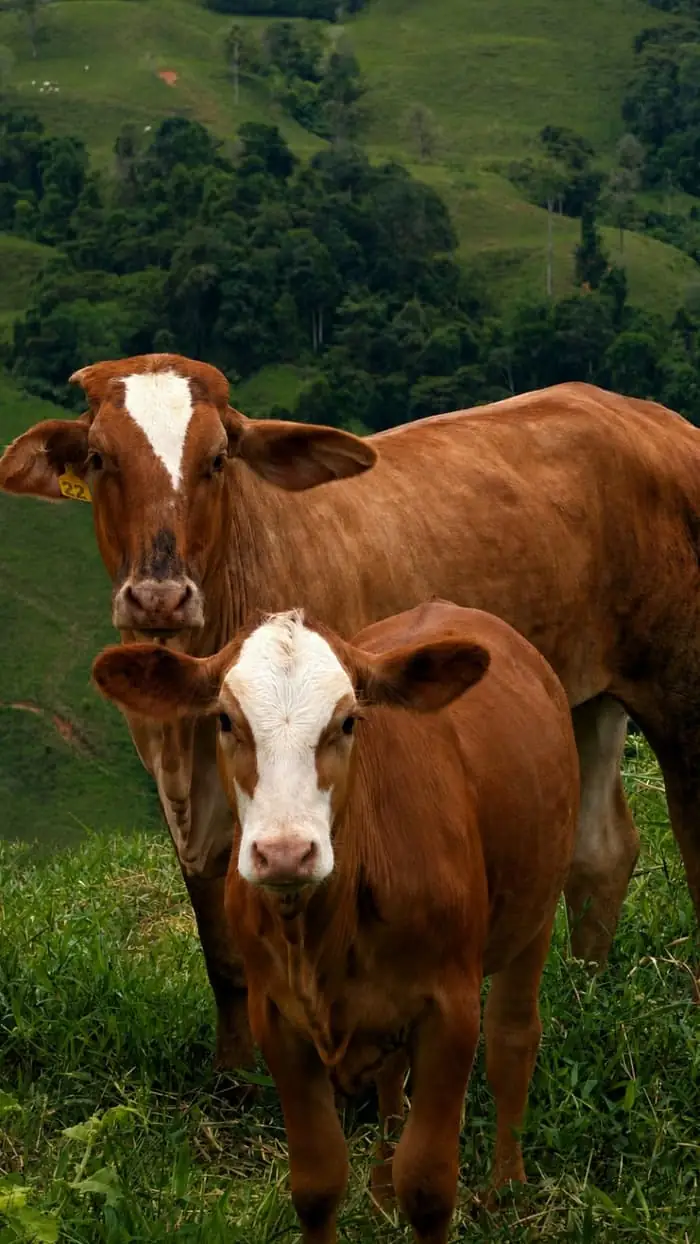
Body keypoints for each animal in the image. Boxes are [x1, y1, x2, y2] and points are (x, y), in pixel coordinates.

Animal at [2, 352, 699, 1074]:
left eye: (218, 459)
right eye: (99, 458)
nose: (159, 597)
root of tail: (651, 417)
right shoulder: (189, 804)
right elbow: (222, 953)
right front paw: (236, 1074)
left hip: (678, 684)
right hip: (585, 698)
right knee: (600, 850)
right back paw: (583, 996)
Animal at [91, 601, 580, 1244]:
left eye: (348, 722)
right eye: (225, 720)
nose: (285, 853)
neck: (319, 935)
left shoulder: (450, 1009)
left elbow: (429, 1186)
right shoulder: (275, 1016)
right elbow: (317, 1183)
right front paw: (369, 1191)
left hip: (536, 911)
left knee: (512, 1040)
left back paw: (506, 1190)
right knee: (392, 1079)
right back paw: (380, 1193)